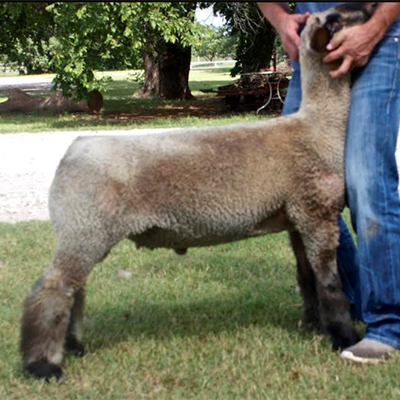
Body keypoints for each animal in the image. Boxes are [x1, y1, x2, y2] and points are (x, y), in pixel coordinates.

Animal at [21, 3, 378, 384]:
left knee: (73, 291)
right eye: (337, 17)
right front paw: (343, 337)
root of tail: (73, 150)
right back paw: (43, 366)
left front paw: (312, 327)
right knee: (51, 290)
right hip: (85, 228)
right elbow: (330, 283)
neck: (319, 126)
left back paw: (73, 347)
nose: (374, 10)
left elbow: (306, 277)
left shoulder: (296, 218)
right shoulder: (316, 212)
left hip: (85, 232)